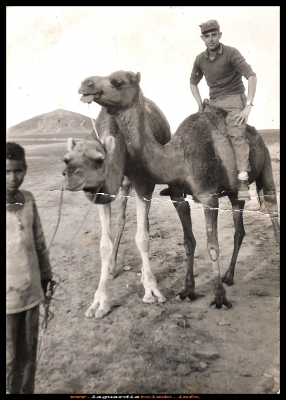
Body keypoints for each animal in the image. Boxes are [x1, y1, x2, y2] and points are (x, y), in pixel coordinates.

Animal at [63, 92, 170, 318]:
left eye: (99, 160)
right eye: (66, 160)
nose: (72, 178)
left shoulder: (143, 182)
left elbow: (142, 238)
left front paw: (151, 289)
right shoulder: (103, 192)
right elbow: (105, 244)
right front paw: (99, 302)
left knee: (144, 223)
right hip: (123, 184)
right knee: (121, 218)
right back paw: (112, 268)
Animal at [77, 70, 280, 310]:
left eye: (117, 82)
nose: (85, 84)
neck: (178, 158)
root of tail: (257, 135)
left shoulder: (209, 197)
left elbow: (212, 246)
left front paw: (219, 297)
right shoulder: (177, 197)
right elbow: (188, 242)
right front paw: (187, 290)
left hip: (265, 165)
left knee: (271, 207)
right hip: (234, 192)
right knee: (239, 226)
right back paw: (229, 276)